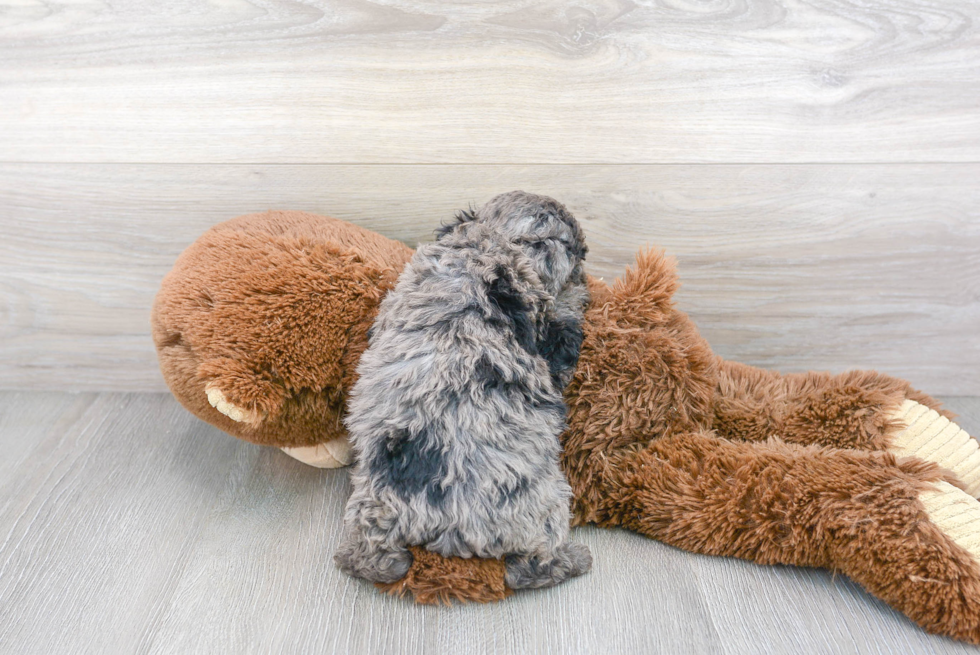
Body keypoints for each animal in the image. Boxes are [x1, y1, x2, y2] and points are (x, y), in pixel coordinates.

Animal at [334, 190, 588, 588]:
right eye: (570, 244)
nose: (585, 252)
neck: (482, 247)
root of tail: (448, 530)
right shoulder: (547, 341)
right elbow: (563, 319)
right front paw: (576, 292)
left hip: (370, 508)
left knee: (370, 557)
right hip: (544, 505)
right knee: (532, 567)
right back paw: (571, 560)